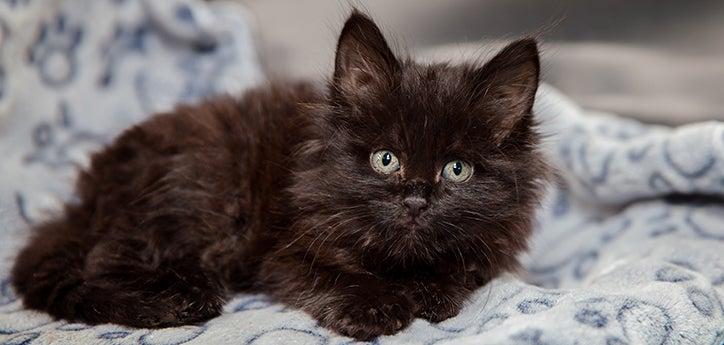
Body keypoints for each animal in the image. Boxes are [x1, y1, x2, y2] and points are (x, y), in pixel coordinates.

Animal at [11, 10, 544, 338]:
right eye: (385, 159)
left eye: (456, 170)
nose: (416, 198)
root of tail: (86, 197)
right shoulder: (283, 252)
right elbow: (331, 273)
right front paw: (375, 305)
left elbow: (461, 266)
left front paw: (430, 290)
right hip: (204, 184)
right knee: (105, 258)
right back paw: (184, 293)